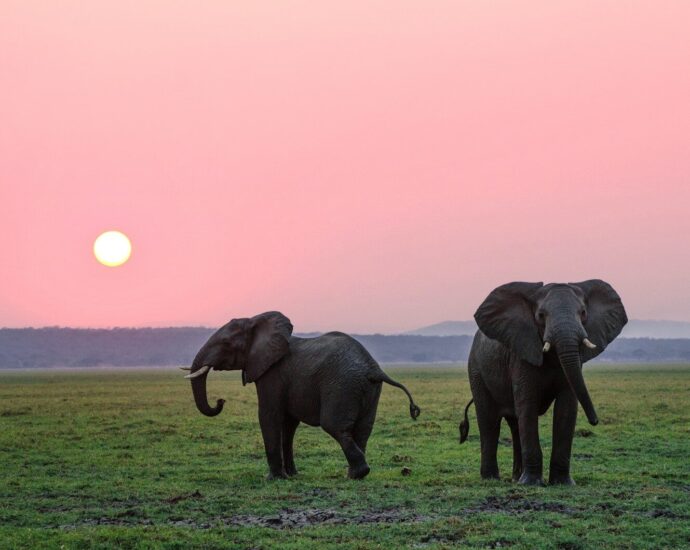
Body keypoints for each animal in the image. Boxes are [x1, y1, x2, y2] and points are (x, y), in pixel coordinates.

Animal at [184, 311, 421, 480]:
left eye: (226, 344)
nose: (220, 400)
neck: (256, 321)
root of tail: (373, 368)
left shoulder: (272, 374)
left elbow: (269, 415)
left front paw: (273, 478)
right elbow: (288, 425)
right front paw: (292, 475)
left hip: (342, 385)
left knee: (335, 426)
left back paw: (356, 474)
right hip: (369, 389)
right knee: (363, 430)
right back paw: (354, 475)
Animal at [459, 280, 627, 486]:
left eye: (583, 313)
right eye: (540, 315)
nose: (594, 421)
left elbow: (566, 408)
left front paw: (563, 483)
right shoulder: (522, 352)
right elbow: (528, 405)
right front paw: (531, 483)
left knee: (515, 424)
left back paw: (516, 478)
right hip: (476, 370)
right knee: (489, 421)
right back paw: (492, 479)